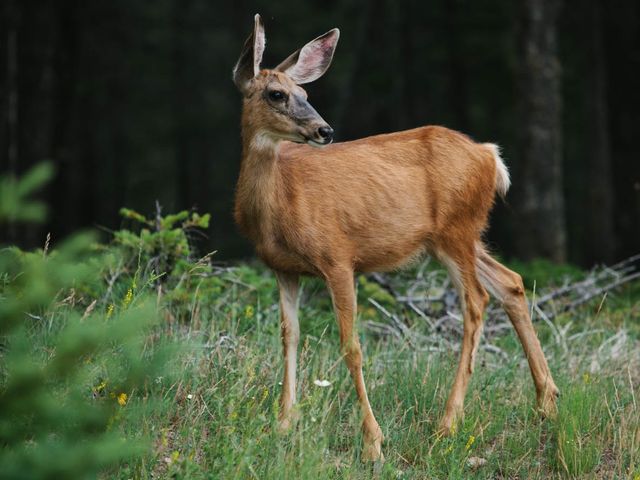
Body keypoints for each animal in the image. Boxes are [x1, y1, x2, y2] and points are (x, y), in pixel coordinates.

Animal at [232, 15, 556, 464]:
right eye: (277, 94)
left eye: (306, 93)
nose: (324, 129)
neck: (278, 204)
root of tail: (491, 155)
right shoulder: (282, 268)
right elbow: (288, 337)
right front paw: (282, 425)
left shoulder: (337, 256)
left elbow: (351, 346)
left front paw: (373, 442)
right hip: (457, 237)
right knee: (511, 282)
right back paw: (547, 402)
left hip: (457, 230)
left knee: (477, 301)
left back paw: (447, 423)